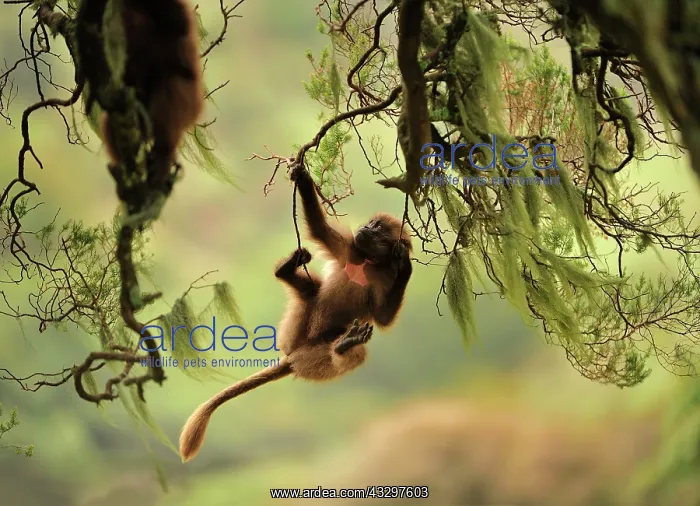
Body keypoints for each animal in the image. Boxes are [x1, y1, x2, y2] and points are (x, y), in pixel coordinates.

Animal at [178, 164, 413, 462]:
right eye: (371, 224)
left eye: (378, 227)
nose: (364, 227)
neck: (370, 263)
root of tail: (293, 356)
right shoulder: (350, 249)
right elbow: (319, 229)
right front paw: (302, 176)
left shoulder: (383, 277)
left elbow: (383, 317)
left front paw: (405, 265)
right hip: (296, 328)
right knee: (313, 294)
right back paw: (287, 272)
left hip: (314, 357)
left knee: (354, 350)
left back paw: (345, 345)